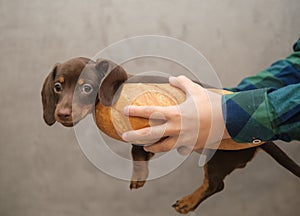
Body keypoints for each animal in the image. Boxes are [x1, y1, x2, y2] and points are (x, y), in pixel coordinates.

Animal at [42, 57, 300, 214]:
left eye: (86, 87)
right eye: (57, 87)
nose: (62, 114)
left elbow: (137, 150)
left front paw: (140, 174)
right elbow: (138, 151)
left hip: (219, 157)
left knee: (215, 184)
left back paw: (188, 202)